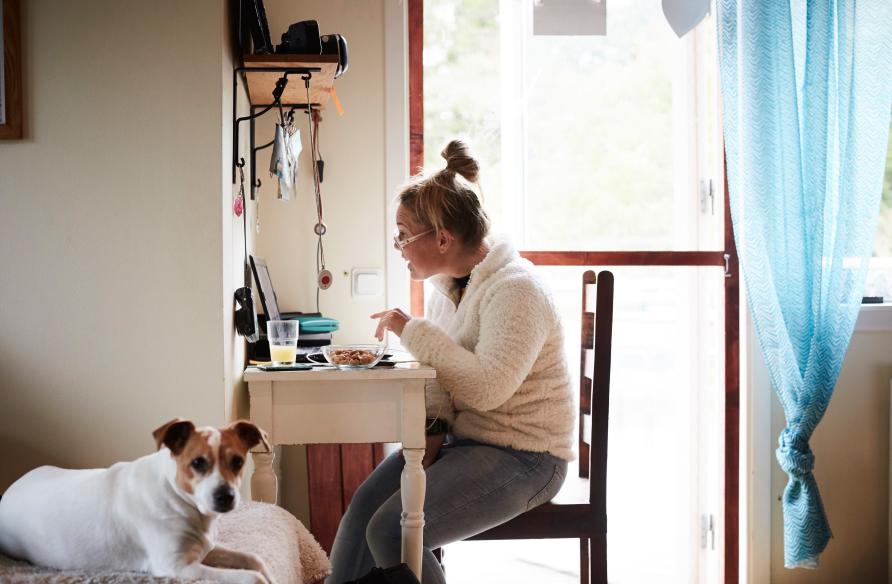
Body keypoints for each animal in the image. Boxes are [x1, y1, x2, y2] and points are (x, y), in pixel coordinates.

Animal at [0, 418, 276, 580]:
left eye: (237, 462)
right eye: (198, 462)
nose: (226, 497)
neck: (176, 496)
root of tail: (11, 489)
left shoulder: (205, 549)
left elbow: (255, 560)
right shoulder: (176, 567)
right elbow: (252, 577)